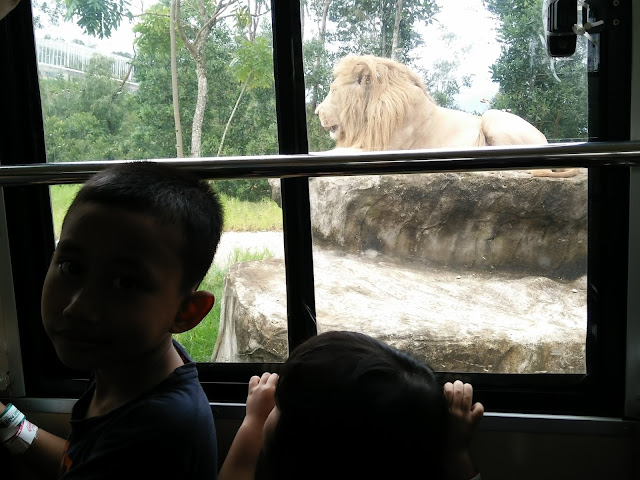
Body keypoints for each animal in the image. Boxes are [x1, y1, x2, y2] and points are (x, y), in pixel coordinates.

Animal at [316, 54, 580, 178]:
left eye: (332, 90)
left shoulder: (384, 148)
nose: (317, 111)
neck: (366, 114)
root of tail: (546, 140)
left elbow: (330, 153)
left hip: (492, 116)